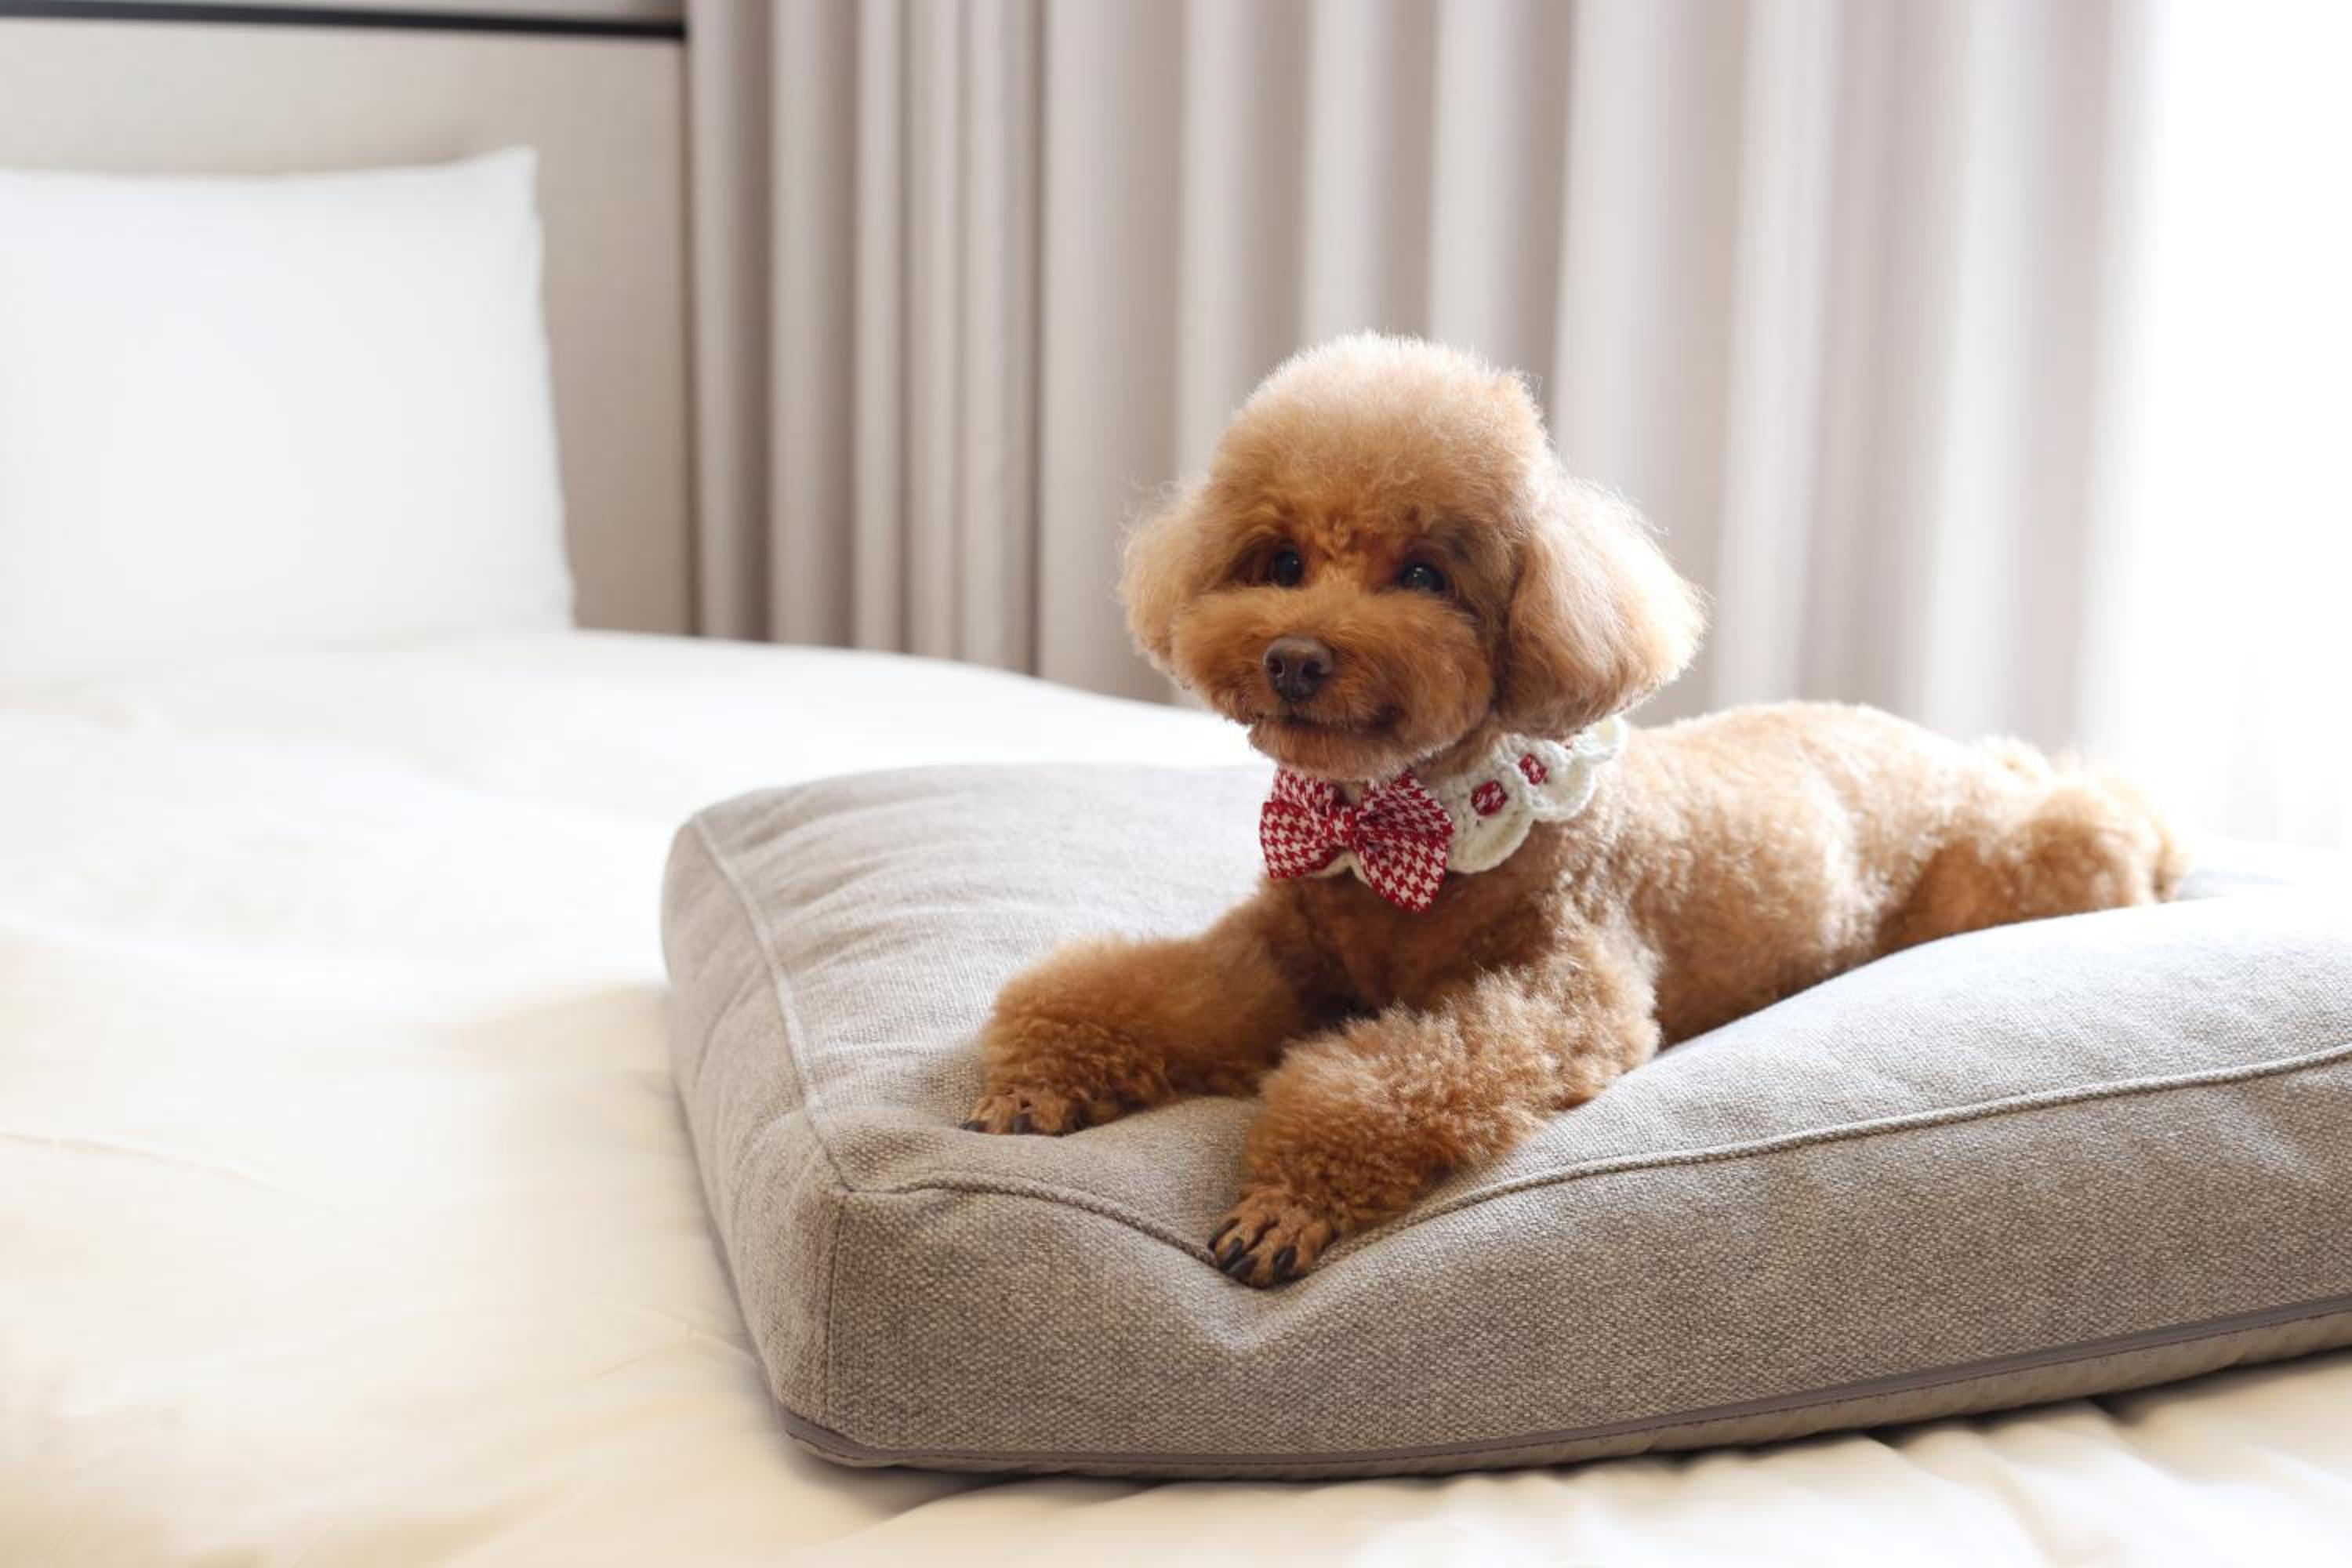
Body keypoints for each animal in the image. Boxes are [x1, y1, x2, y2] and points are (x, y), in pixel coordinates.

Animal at [965, 334, 2184, 1287]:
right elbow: (1141, 993)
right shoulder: (1284, 952)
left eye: (1424, 574)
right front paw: (1032, 1083)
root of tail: (1920, 742)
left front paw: (1287, 1204)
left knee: (2088, 824)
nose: (1296, 658)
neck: (1404, 826)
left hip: (2004, 868)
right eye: (1281, 558)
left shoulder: (1567, 996)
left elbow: (1384, 1081)